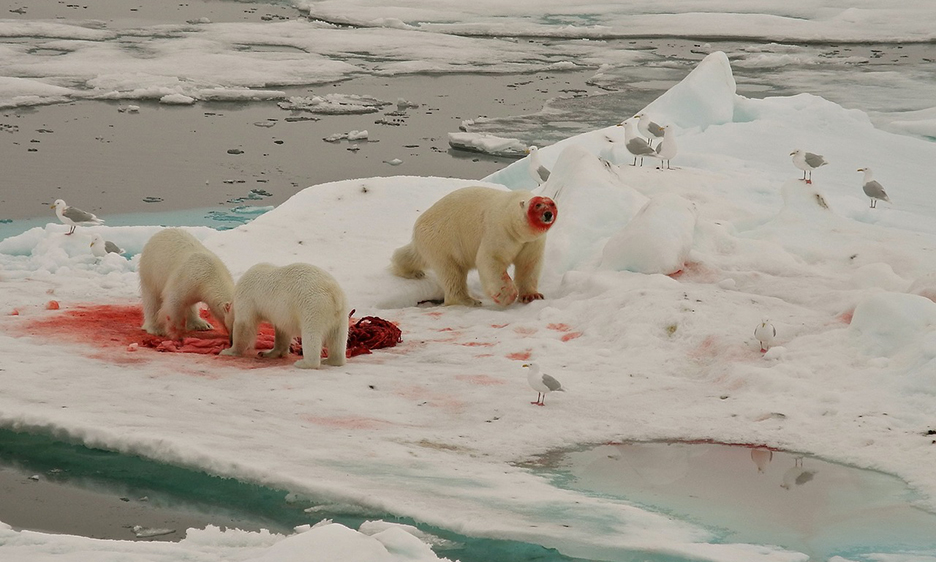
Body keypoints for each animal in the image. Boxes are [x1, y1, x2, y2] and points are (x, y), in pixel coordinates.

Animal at [221, 262, 350, 368]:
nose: (230, 340)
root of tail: (334, 294)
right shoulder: (283, 316)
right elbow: (283, 331)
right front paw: (268, 353)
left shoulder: (247, 298)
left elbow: (244, 325)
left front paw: (229, 350)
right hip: (341, 314)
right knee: (338, 337)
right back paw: (331, 360)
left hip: (314, 307)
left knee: (311, 335)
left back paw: (304, 363)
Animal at [390, 186, 556, 304]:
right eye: (537, 204)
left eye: (551, 204)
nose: (548, 214)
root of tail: (419, 225)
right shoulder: (499, 231)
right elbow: (490, 259)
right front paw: (506, 295)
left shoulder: (532, 242)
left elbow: (529, 263)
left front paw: (532, 295)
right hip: (442, 241)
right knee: (451, 273)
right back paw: (467, 300)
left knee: (413, 255)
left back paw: (411, 271)